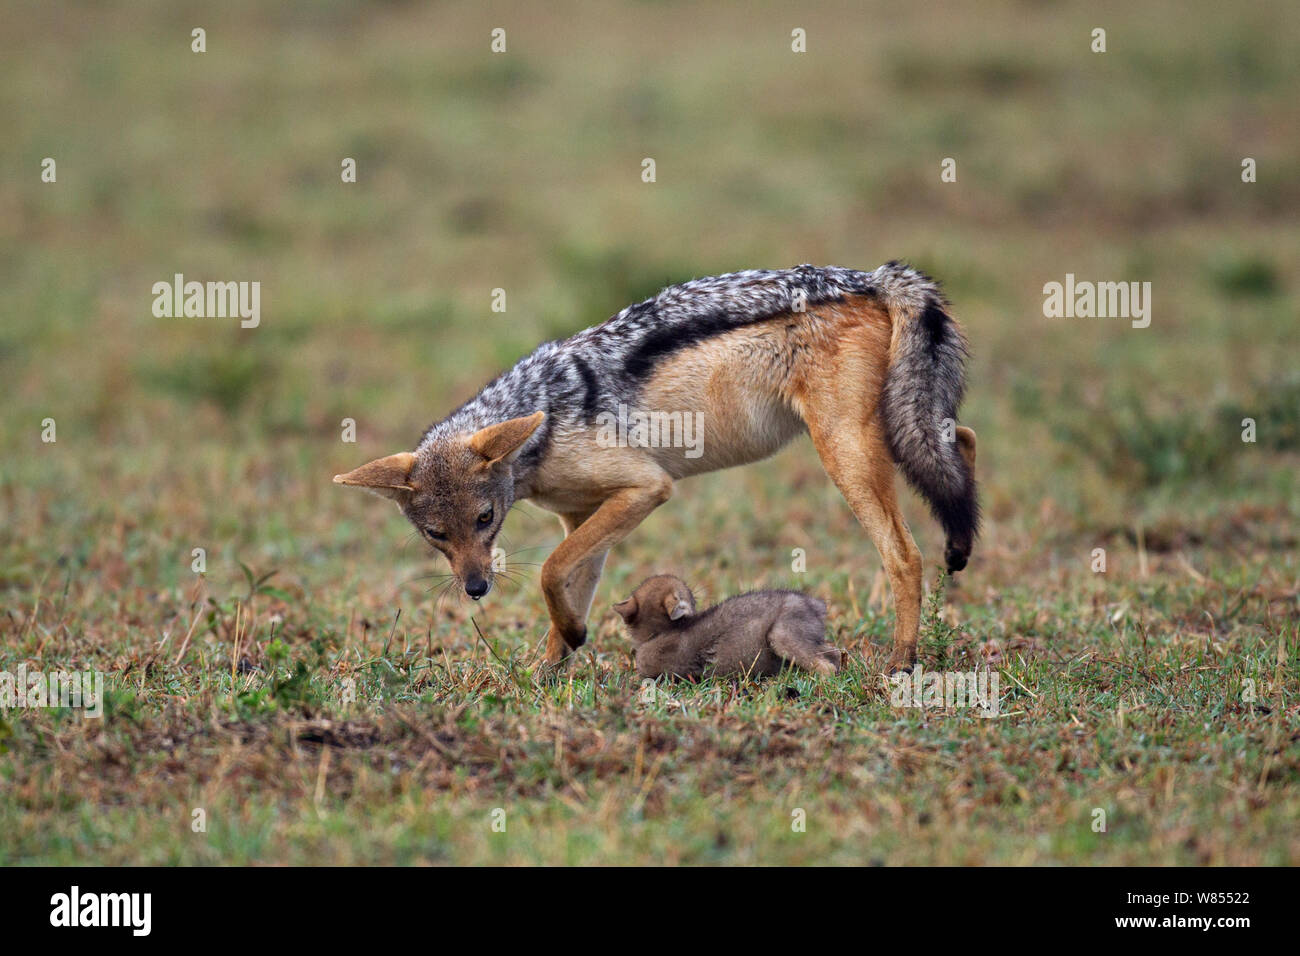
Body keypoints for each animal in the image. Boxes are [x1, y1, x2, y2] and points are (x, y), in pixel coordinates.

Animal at [611, 574, 842, 681]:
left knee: (827, 667)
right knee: (836, 653)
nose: (695, 593)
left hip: (780, 636)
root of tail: (816, 604)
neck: (654, 635)